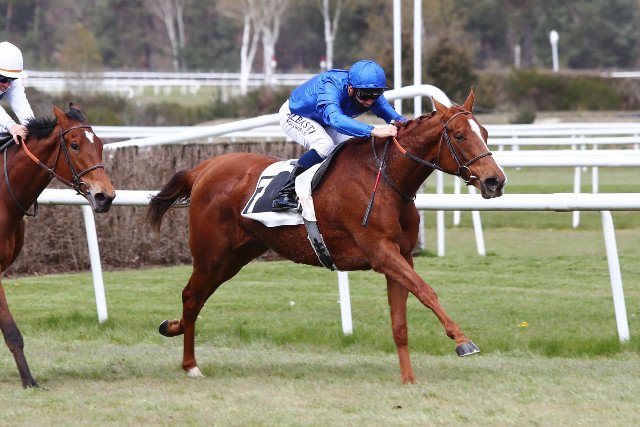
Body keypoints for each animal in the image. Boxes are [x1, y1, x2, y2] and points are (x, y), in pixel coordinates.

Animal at [147, 89, 506, 383]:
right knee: (192, 297)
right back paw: (190, 364)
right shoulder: (381, 253)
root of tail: (203, 169)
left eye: (486, 133)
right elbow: (426, 291)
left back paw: (173, 328)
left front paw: (408, 379)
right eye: (459, 135)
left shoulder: (400, 256)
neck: (386, 178)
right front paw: (463, 341)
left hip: (236, 256)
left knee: (199, 298)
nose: (495, 181)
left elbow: (400, 321)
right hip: (211, 253)